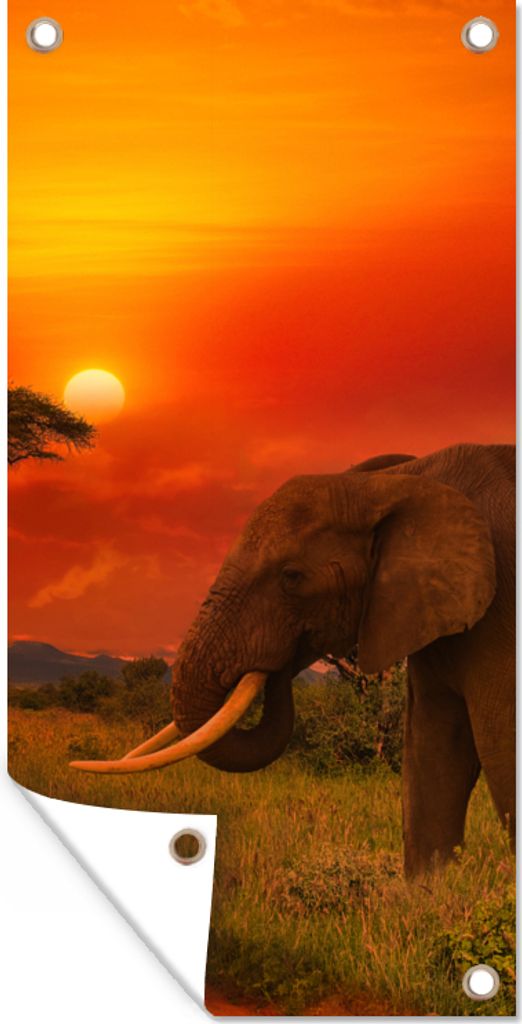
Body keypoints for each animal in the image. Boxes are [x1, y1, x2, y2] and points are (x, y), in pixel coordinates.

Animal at [71, 443, 515, 877]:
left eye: (292, 577)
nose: (279, 663)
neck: (401, 480)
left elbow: (499, 747)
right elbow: (432, 750)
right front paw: (428, 894)